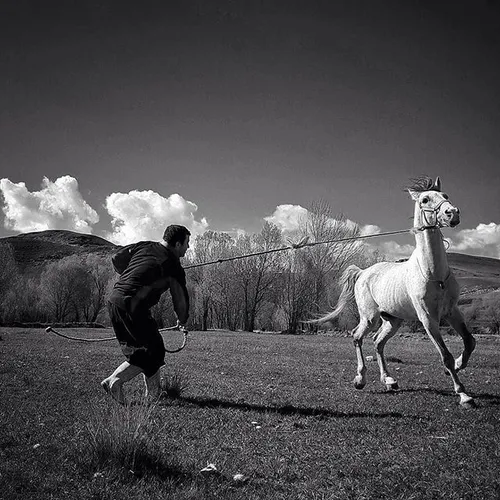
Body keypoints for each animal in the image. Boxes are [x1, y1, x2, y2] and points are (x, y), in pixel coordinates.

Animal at [312, 176, 476, 406]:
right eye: (425, 199)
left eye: (445, 195)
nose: (452, 213)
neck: (433, 272)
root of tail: (363, 272)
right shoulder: (428, 319)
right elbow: (445, 356)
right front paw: (463, 394)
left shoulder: (452, 312)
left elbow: (470, 342)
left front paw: (460, 366)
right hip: (370, 318)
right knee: (357, 336)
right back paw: (360, 379)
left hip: (392, 320)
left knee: (378, 342)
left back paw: (389, 380)